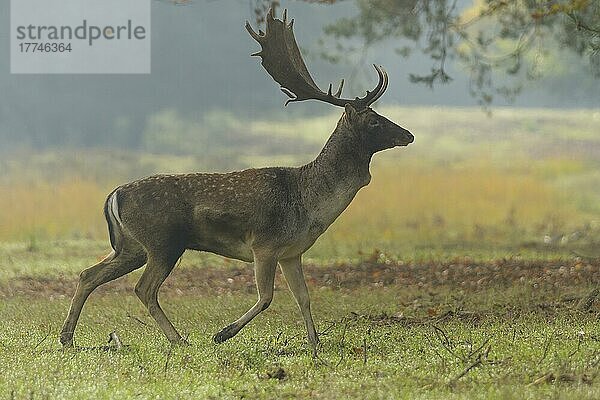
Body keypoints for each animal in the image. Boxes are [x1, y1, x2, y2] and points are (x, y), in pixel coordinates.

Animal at [61, 8, 414, 354]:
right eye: (373, 120)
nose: (408, 135)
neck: (309, 203)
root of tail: (113, 195)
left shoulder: (292, 252)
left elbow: (303, 297)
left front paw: (315, 344)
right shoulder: (265, 244)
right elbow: (266, 297)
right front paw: (223, 334)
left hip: (132, 246)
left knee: (88, 274)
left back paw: (67, 337)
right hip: (163, 242)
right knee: (143, 288)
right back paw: (179, 339)